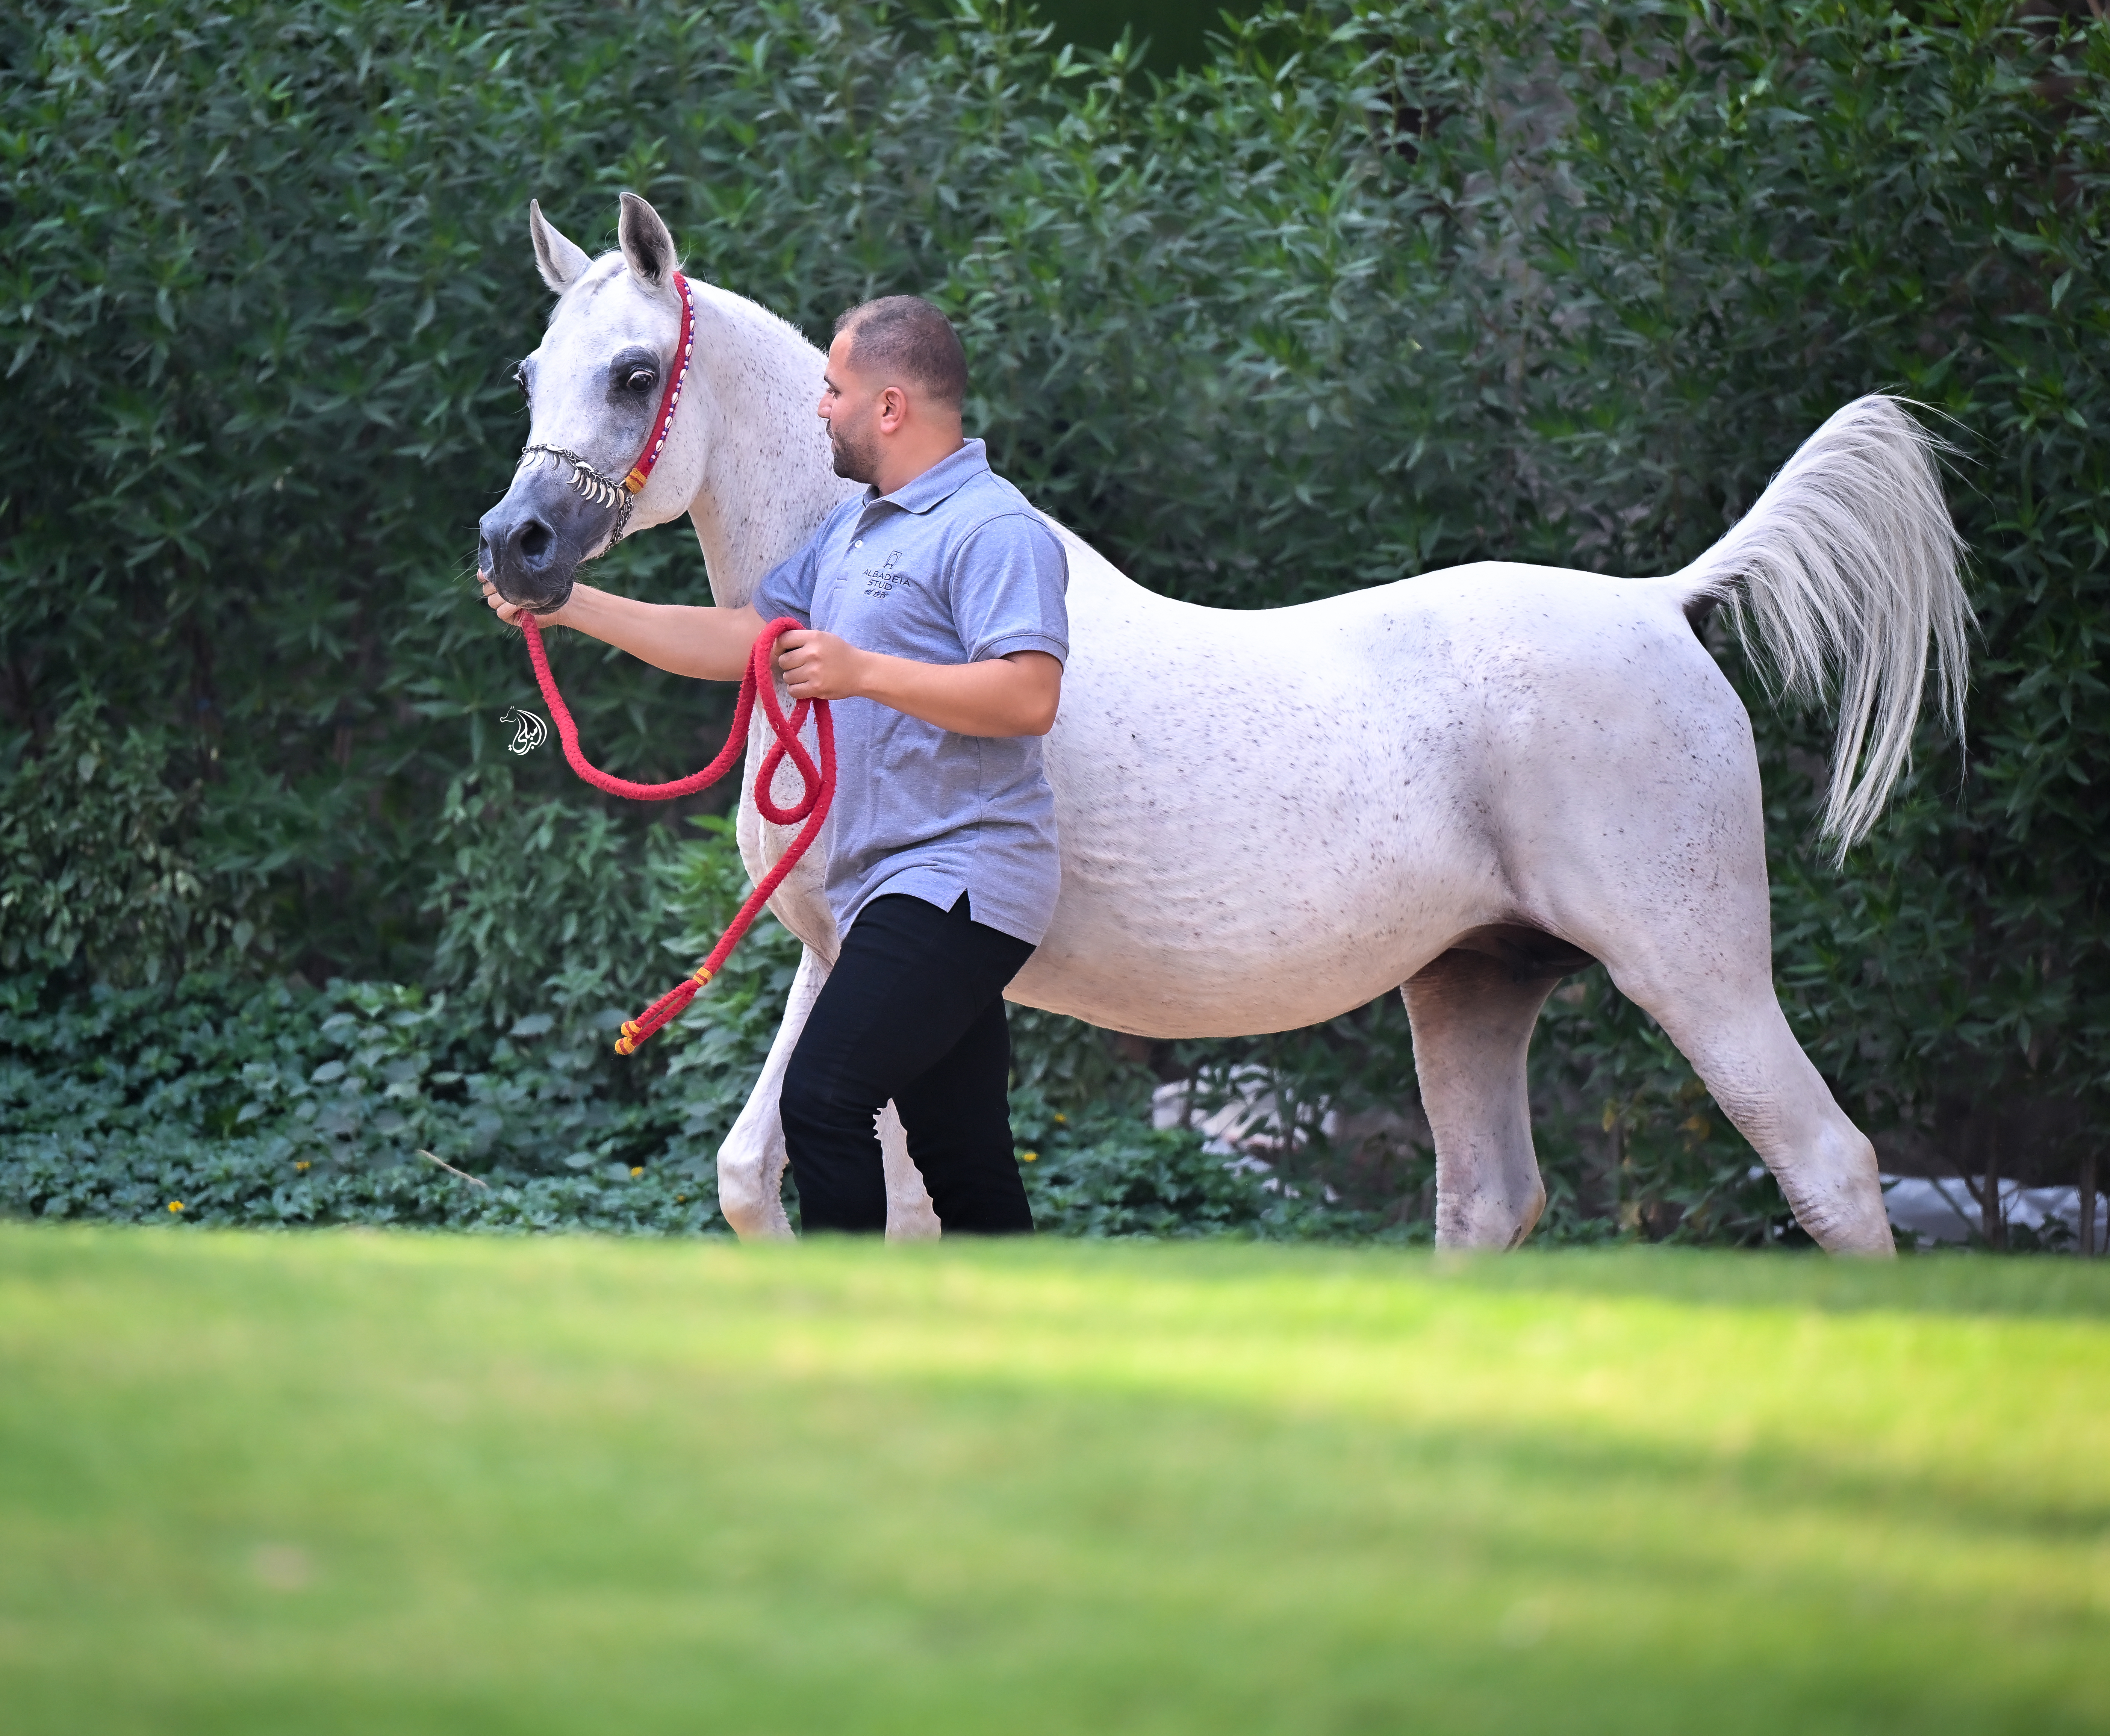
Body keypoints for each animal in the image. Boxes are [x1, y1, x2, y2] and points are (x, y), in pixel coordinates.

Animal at [477, 193, 1970, 1254]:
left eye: (631, 373)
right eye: (531, 372)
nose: (517, 546)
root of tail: (1661, 604)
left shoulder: (885, 967)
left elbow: (894, 1206)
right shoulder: (838, 951)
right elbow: (753, 1174)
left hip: (1696, 970)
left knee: (1829, 1167)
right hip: (1473, 982)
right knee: (1487, 1198)